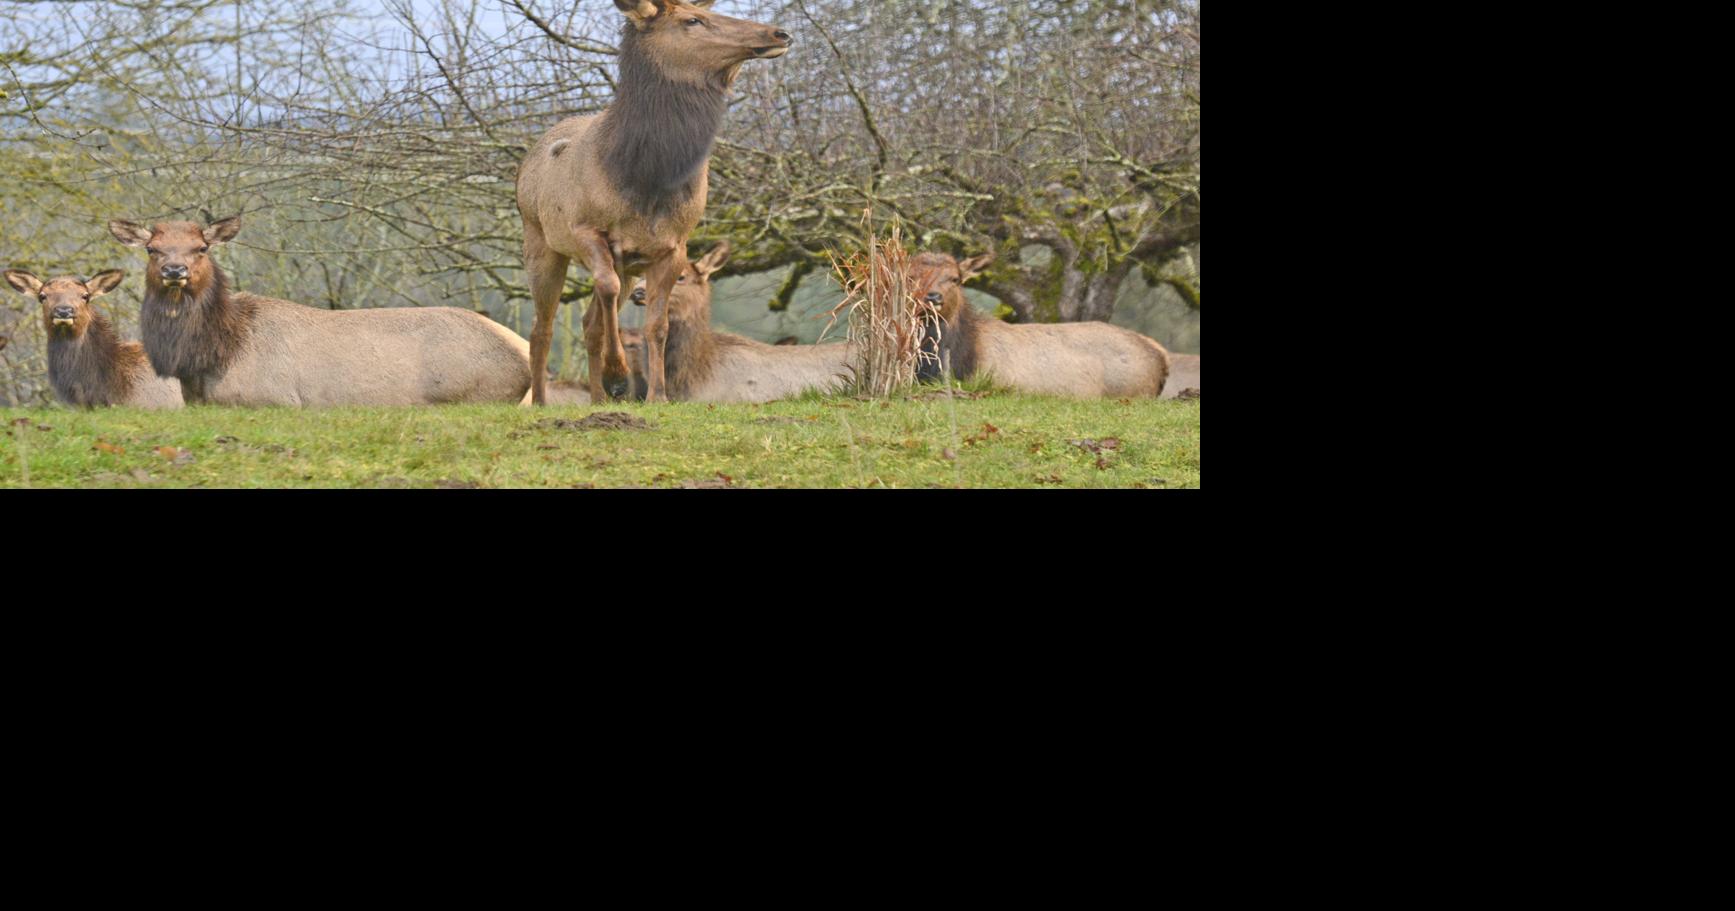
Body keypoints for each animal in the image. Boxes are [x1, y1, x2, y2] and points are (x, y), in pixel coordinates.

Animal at [515, 0, 791, 406]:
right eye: (692, 19)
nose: (779, 33)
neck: (649, 180)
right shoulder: (585, 228)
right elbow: (608, 288)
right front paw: (617, 374)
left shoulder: (671, 245)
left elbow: (656, 324)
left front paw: (657, 395)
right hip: (540, 242)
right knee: (542, 325)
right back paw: (541, 401)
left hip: (626, 263)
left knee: (589, 322)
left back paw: (597, 398)